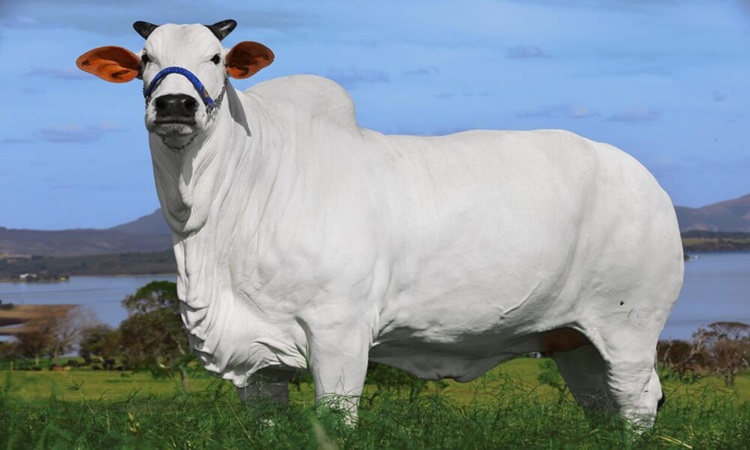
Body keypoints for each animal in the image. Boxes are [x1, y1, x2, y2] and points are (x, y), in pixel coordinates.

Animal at [76, 20, 684, 427]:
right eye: (145, 57)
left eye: (217, 57)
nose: (175, 104)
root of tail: (645, 181)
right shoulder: (260, 358)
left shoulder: (339, 334)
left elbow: (337, 422)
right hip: (574, 341)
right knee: (602, 407)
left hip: (629, 327)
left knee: (636, 405)